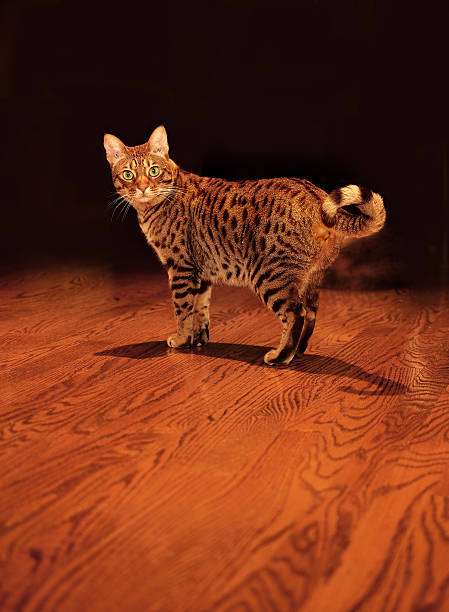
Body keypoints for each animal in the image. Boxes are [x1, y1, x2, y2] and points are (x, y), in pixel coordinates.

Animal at [103, 124, 384, 364]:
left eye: (153, 171)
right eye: (128, 174)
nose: (142, 188)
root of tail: (319, 196)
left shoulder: (181, 267)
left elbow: (182, 309)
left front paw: (181, 339)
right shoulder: (201, 272)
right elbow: (200, 309)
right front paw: (198, 340)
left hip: (270, 276)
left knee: (296, 314)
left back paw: (281, 356)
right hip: (311, 277)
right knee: (311, 314)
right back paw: (298, 351)